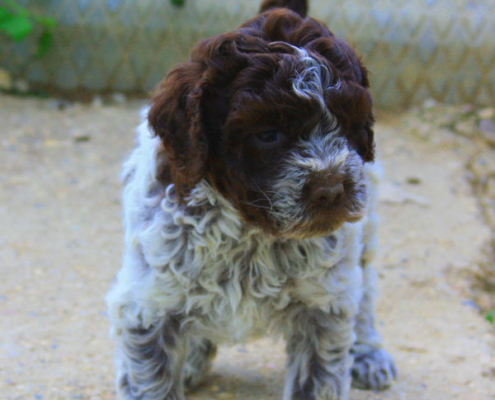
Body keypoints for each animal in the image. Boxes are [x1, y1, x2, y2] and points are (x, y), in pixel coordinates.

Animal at [107, 1, 400, 398]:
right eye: (268, 134)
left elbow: (317, 379)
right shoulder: (147, 306)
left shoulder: (322, 308)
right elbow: (152, 380)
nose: (332, 189)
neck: (251, 233)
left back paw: (369, 353)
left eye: (350, 123)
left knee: (366, 293)